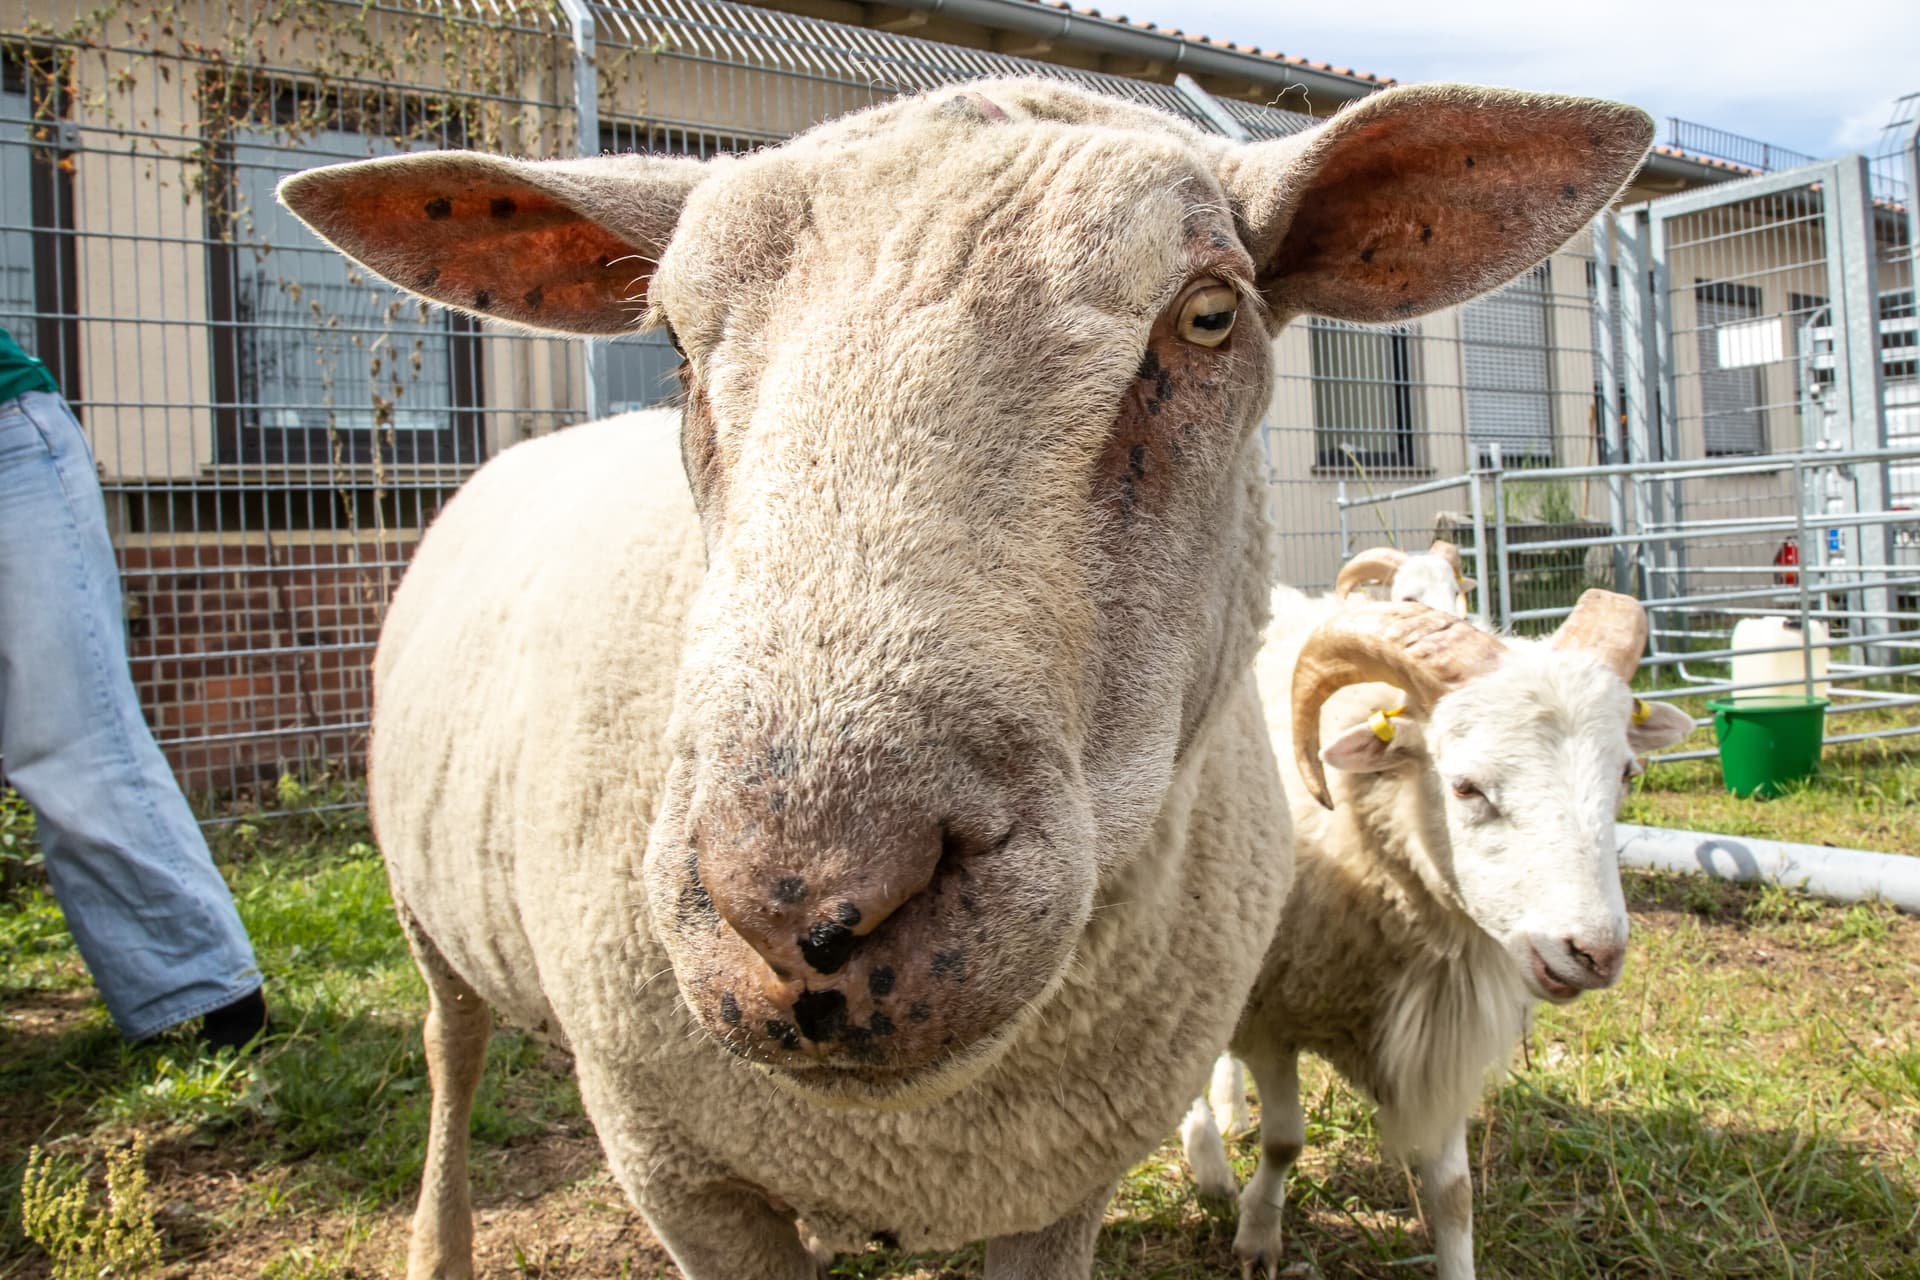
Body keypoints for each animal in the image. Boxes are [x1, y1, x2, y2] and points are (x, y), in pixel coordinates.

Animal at [1180, 589, 1694, 1279]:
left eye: (1626, 775)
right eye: (1466, 787)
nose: (1596, 952)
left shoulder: (1447, 1036)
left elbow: (1454, 1195)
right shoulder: (1274, 1018)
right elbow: (1286, 1140)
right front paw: (1258, 1235)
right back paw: (1209, 1158)